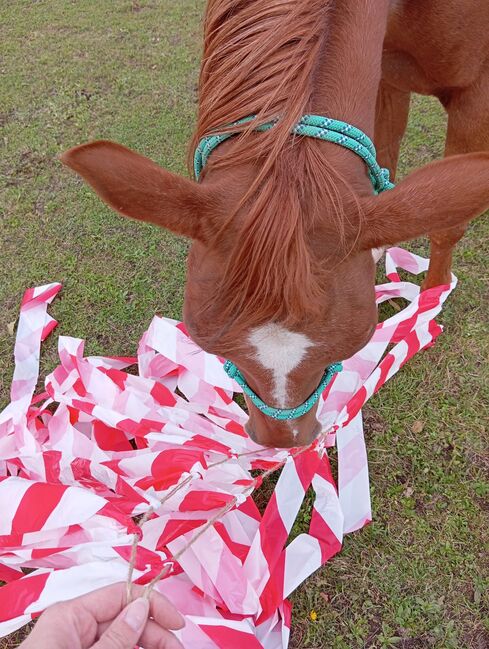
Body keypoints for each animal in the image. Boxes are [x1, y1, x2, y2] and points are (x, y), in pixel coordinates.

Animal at [60, 0, 488, 448]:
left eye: (348, 348)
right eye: (213, 346)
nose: (282, 441)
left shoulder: (475, 93)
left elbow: (446, 220)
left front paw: (431, 300)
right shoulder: (386, 74)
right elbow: (384, 155)